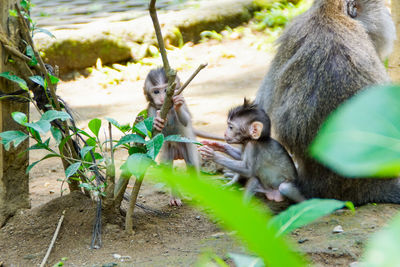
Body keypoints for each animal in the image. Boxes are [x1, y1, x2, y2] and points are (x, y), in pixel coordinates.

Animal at [144, 67, 200, 207]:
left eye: (166, 90)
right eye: (156, 91)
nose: (163, 98)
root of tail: (178, 153)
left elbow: (186, 121)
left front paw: (178, 104)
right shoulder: (151, 109)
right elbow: (154, 135)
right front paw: (157, 122)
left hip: (187, 146)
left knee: (192, 164)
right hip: (168, 149)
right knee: (167, 168)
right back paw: (175, 197)